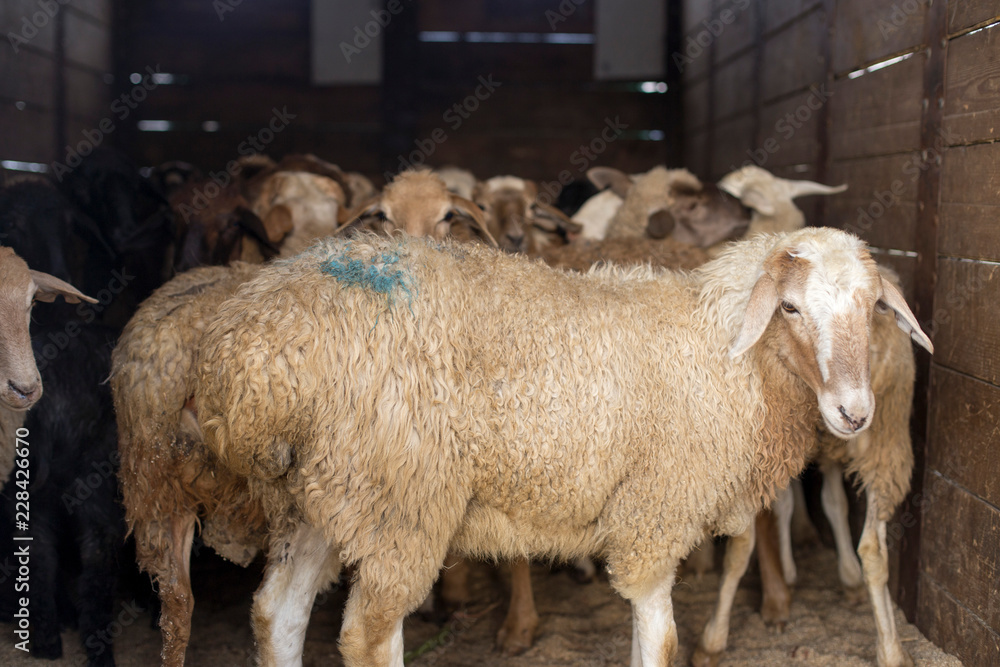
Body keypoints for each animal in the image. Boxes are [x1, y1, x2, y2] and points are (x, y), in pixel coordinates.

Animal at [193, 226, 932, 666]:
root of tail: (256, 349)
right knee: (368, 636)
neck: (721, 350)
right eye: (791, 308)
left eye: (873, 307)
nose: (854, 412)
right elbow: (662, 642)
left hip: (315, 499)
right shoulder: (654, 512)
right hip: (400, 500)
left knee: (277, 614)